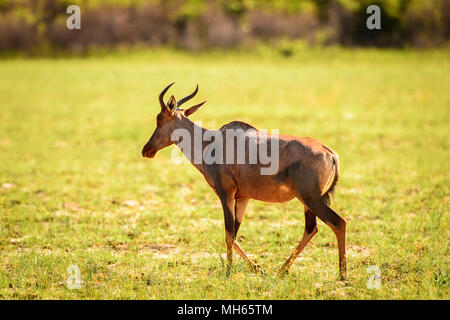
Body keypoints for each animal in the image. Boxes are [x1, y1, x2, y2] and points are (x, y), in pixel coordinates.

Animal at [142, 83, 346, 280]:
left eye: (159, 119)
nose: (146, 150)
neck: (212, 142)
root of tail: (328, 151)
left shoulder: (226, 193)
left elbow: (228, 232)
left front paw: (228, 271)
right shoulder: (243, 197)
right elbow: (234, 234)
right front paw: (258, 269)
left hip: (311, 197)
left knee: (338, 222)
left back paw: (342, 274)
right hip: (306, 200)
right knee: (311, 228)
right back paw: (281, 271)